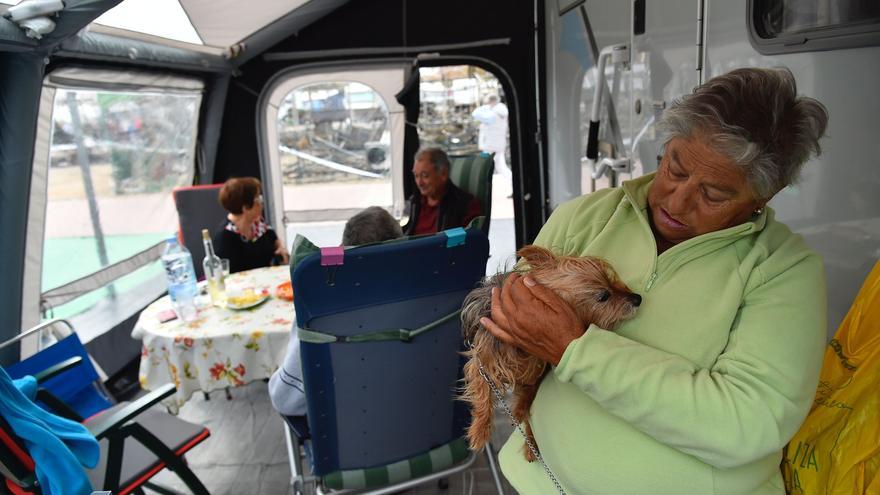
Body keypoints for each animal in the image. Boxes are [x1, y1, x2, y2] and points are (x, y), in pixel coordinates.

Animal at [460, 246, 640, 464]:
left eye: (612, 281)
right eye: (604, 296)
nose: (638, 298)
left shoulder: (535, 370)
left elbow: (527, 397)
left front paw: (520, 414)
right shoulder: (483, 359)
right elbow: (482, 394)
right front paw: (479, 431)